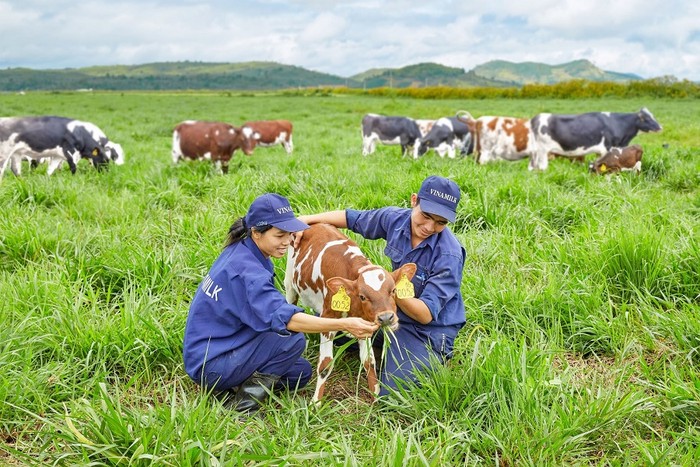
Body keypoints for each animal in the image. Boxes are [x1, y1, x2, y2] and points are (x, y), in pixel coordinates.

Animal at [284, 223, 416, 402]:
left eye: (393, 290)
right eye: (362, 296)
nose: (386, 318)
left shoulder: (365, 324)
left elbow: (369, 362)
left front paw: (375, 396)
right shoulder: (327, 319)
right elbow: (325, 366)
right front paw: (315, 402)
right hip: (289, 283)